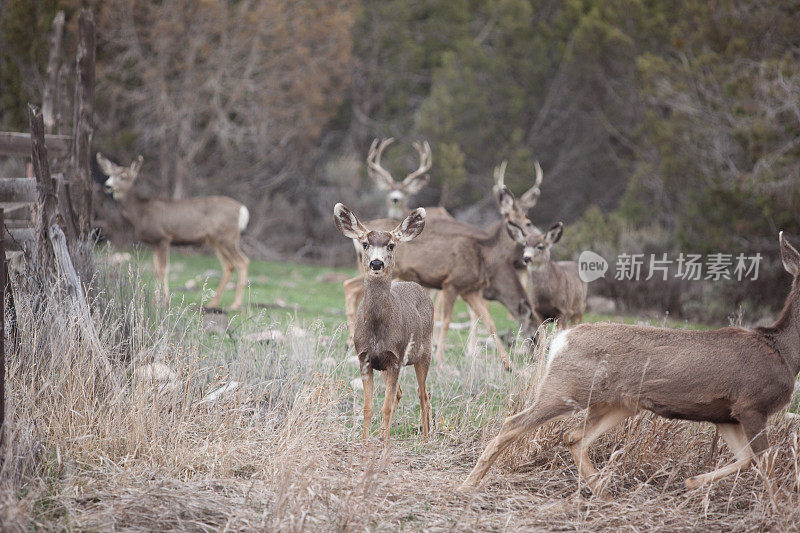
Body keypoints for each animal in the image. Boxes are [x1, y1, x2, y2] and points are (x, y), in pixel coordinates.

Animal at [99, 152, 250, 310]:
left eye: (124, 176)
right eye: (109, 175)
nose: (107, 186)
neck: (140, 213)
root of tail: (242, 209)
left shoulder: (163, 237)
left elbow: (163, 269)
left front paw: (164, 300)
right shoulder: (153, 242)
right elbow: (155, 270)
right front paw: (155, 300)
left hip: (227, 237)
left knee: (242, 262)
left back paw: (235, 304)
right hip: (215, 240)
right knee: (229, 265)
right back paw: (213, 303)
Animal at [332, 202, 432, 442]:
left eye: (391, 245)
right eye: (365, 243)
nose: (376, 263)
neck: (377, 330)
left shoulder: (396, 358)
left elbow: (385, 408)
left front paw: (384, 445)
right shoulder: (365, 358)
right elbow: (368, 407)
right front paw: (366, 441)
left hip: (425, 351)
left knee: (423, 393)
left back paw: (426, 438)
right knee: (402, 393)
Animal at [460, 232, 800, 494]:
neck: (784, 353)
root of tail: (561, 340)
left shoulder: (726, 415)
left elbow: (747, 460)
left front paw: (692, 482)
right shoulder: (751, 405)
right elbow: (766, 463)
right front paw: (775, 508)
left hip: (618, 403)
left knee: (573, 436)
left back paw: (602, 494)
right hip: (565, 389)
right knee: (514, 424)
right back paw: (468, 484)